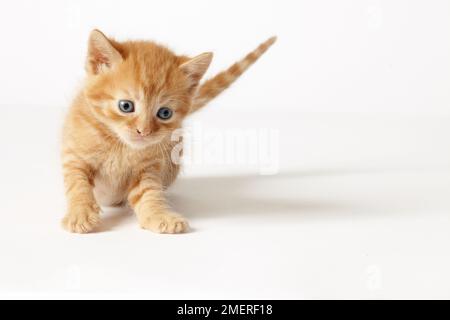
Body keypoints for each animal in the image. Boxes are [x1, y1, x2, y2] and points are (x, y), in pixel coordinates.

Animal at [61, 30, 276, 234]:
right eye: (126, 106)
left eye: (164, 113)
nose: (144, 131)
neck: (121, 146)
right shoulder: (74, 155)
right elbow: (78, 184)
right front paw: (80, 213)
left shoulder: (150, 168)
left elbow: (149, 193)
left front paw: (160, 216)